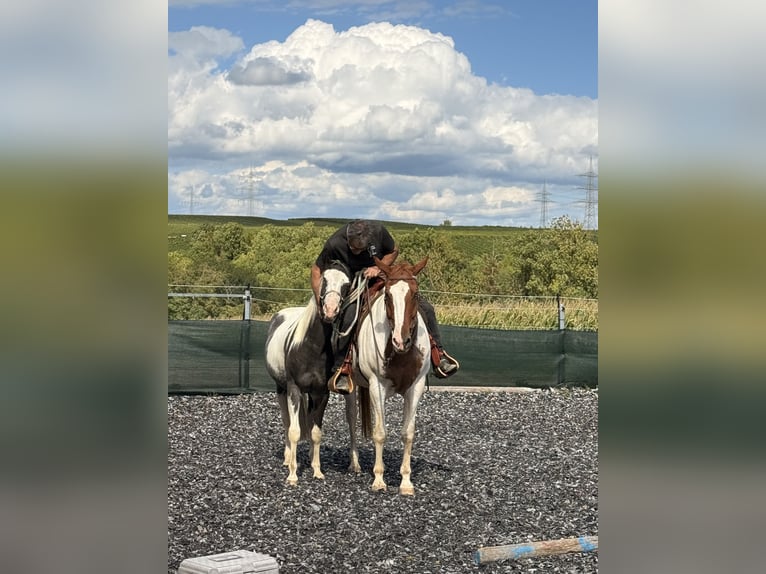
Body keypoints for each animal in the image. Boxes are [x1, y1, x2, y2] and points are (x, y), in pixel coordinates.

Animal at [265, 261, 361, 485]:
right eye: (324, 280)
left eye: (346, 284)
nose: (330, 309)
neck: (312, 347)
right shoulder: (293, 389)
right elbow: (294, 431)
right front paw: (292, 475)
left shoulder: (320, 393)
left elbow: (315, 432)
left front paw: (317, 470)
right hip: (281, 389)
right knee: (287, 422)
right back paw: (288, 458)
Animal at [354, 256, 431, 495]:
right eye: (387, 295)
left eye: (415, 294)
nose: (400, 340)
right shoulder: (376, 386)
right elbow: (380, 432)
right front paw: (379, 479)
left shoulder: (416, 386)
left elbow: (408, 433)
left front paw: (406, 482)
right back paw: (354, 463)